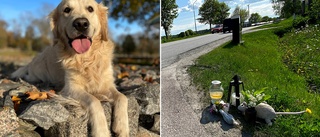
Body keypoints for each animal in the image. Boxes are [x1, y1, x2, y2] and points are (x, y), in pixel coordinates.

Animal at [11, 0, 129, 136]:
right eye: (66, 10)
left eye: (90, 8)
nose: (81, 24)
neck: (86, 59)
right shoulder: (71, 88)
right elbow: (93, 100)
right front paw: (101, 131)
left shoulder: (107, 83)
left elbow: (122, 97)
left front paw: (122, 127)